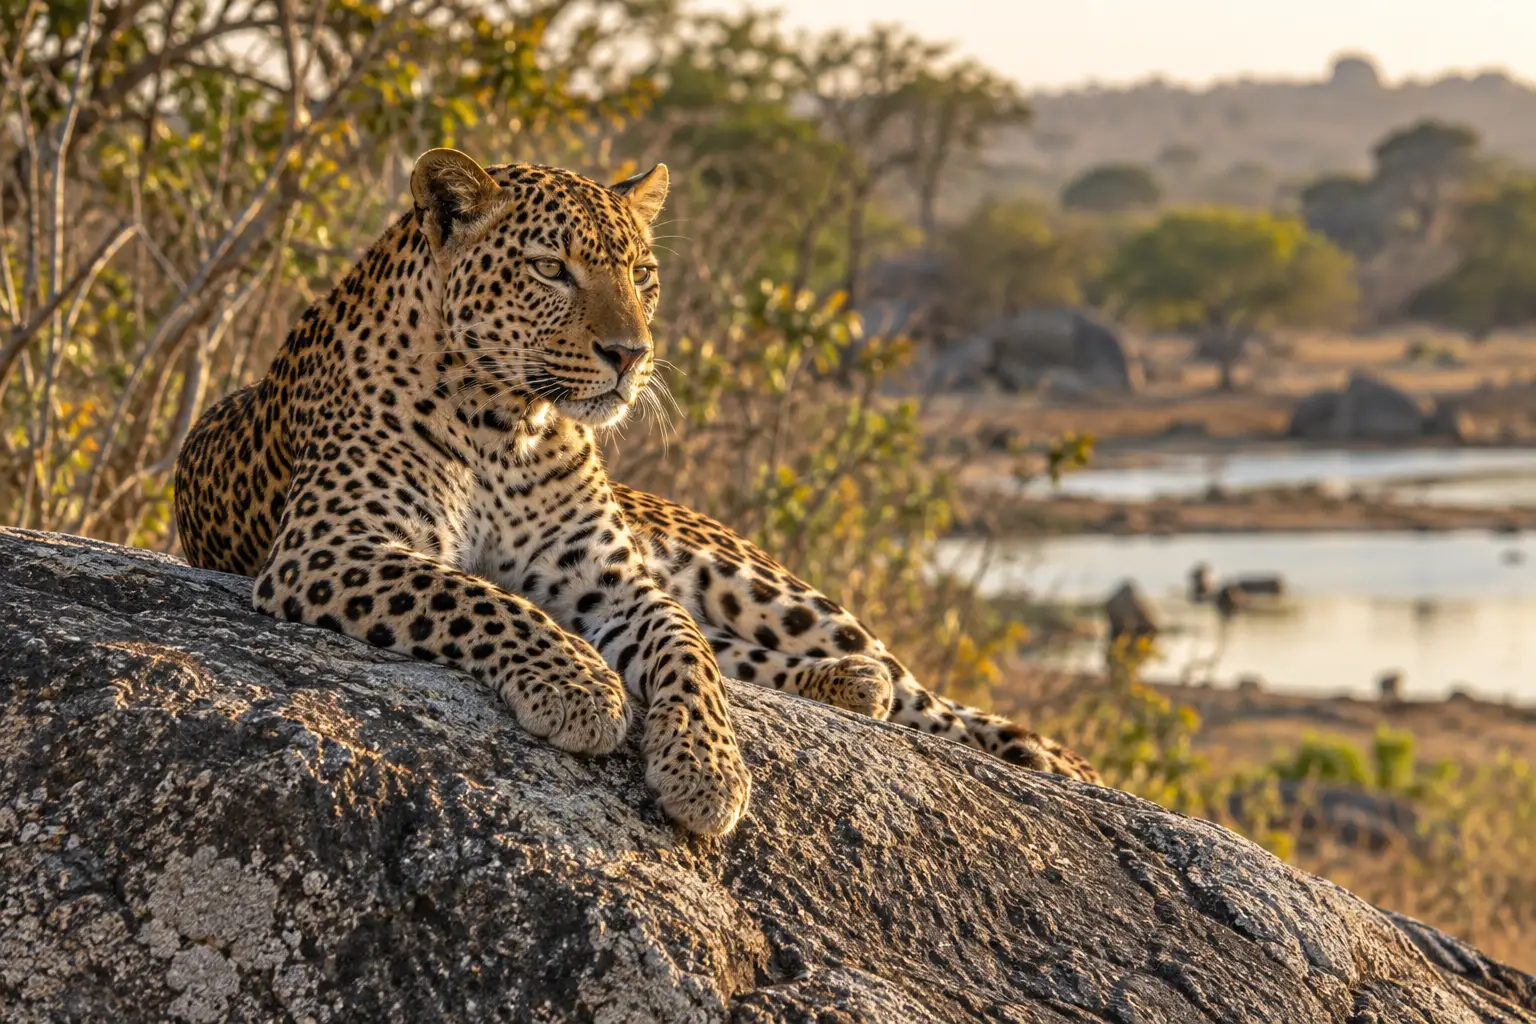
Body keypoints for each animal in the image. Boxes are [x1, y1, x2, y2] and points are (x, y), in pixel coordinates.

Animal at [173, 148, 1101, 837]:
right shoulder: (330, 547)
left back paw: (1041, 759)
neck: (505, 424)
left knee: (919, 692)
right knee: (790, 665)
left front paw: (707, 772)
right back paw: (845, 685)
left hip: (763, 583)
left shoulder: (612, 579)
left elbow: (684, 650)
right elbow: (479, 597)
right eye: (551, 269)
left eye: (644, 272)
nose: (631, 354)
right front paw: (582, 689)